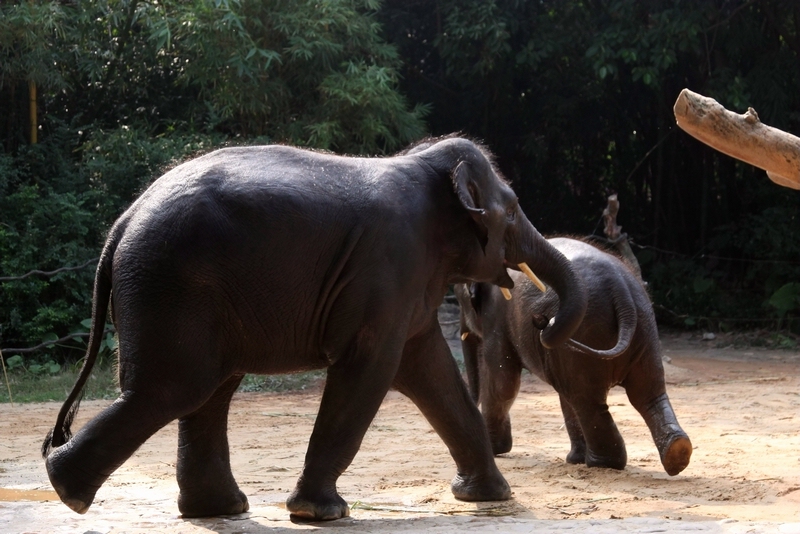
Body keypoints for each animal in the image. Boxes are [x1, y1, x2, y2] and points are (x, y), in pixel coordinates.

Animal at [42, 136, 590, 521]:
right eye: (513, 210)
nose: (543, 324)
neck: (421, 164)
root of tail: (123, 222)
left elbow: (430, 371)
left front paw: (489, 497)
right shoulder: (387, 271)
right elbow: (371, 370)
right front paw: (317, 513)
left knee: (209, 391)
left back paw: (216, 509)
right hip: (171, 285)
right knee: (174, 389)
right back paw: (67, 490)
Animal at [456, 237, 692, 476]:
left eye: (460, 300)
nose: (542, 321)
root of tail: (621, 291)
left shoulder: (496, 317)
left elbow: (502, 382)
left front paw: (496, 450)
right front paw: (574, 459)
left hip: (588, 328)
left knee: (587, 399)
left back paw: (603, 463)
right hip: (644, 329)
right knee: (646, 393)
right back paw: (676, 452)